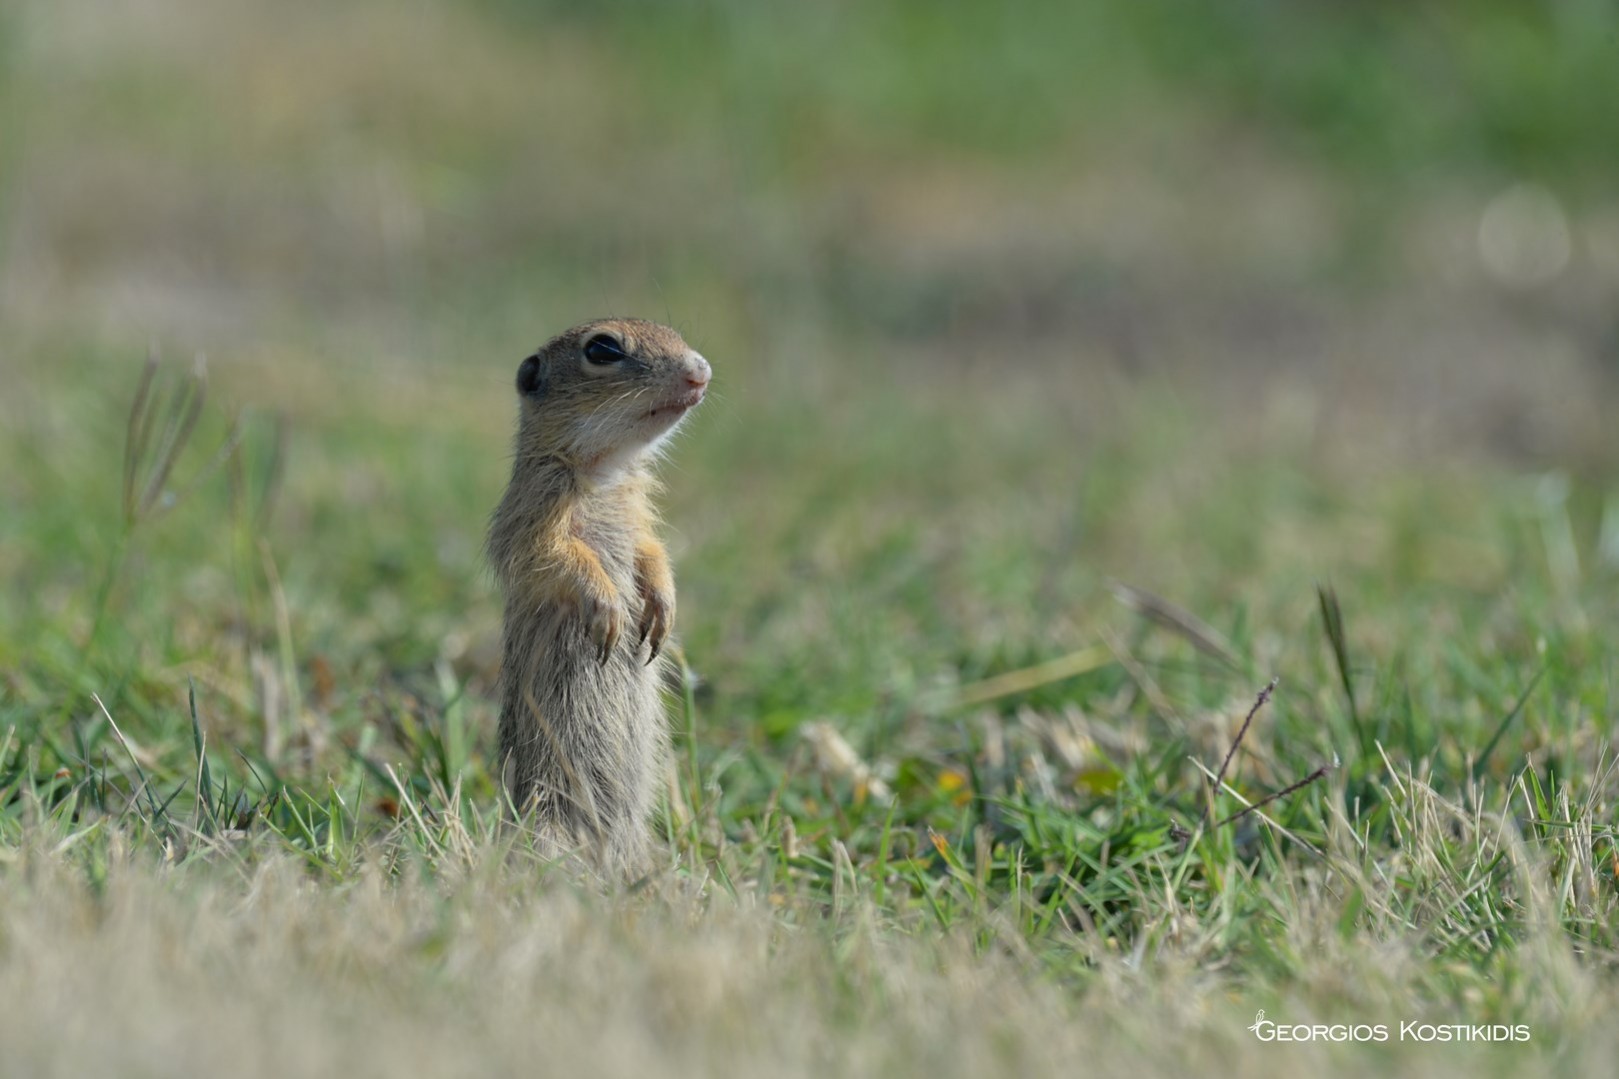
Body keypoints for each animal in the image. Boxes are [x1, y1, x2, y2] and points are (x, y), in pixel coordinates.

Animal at [479, 315, 709, 868]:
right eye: (603, 349)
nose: (701, 371)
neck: (606, 470)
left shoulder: (640, 518)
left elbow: (651, 552)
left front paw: (663, 608)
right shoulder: (537, 511)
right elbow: (559, 558)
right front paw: (608, 611)